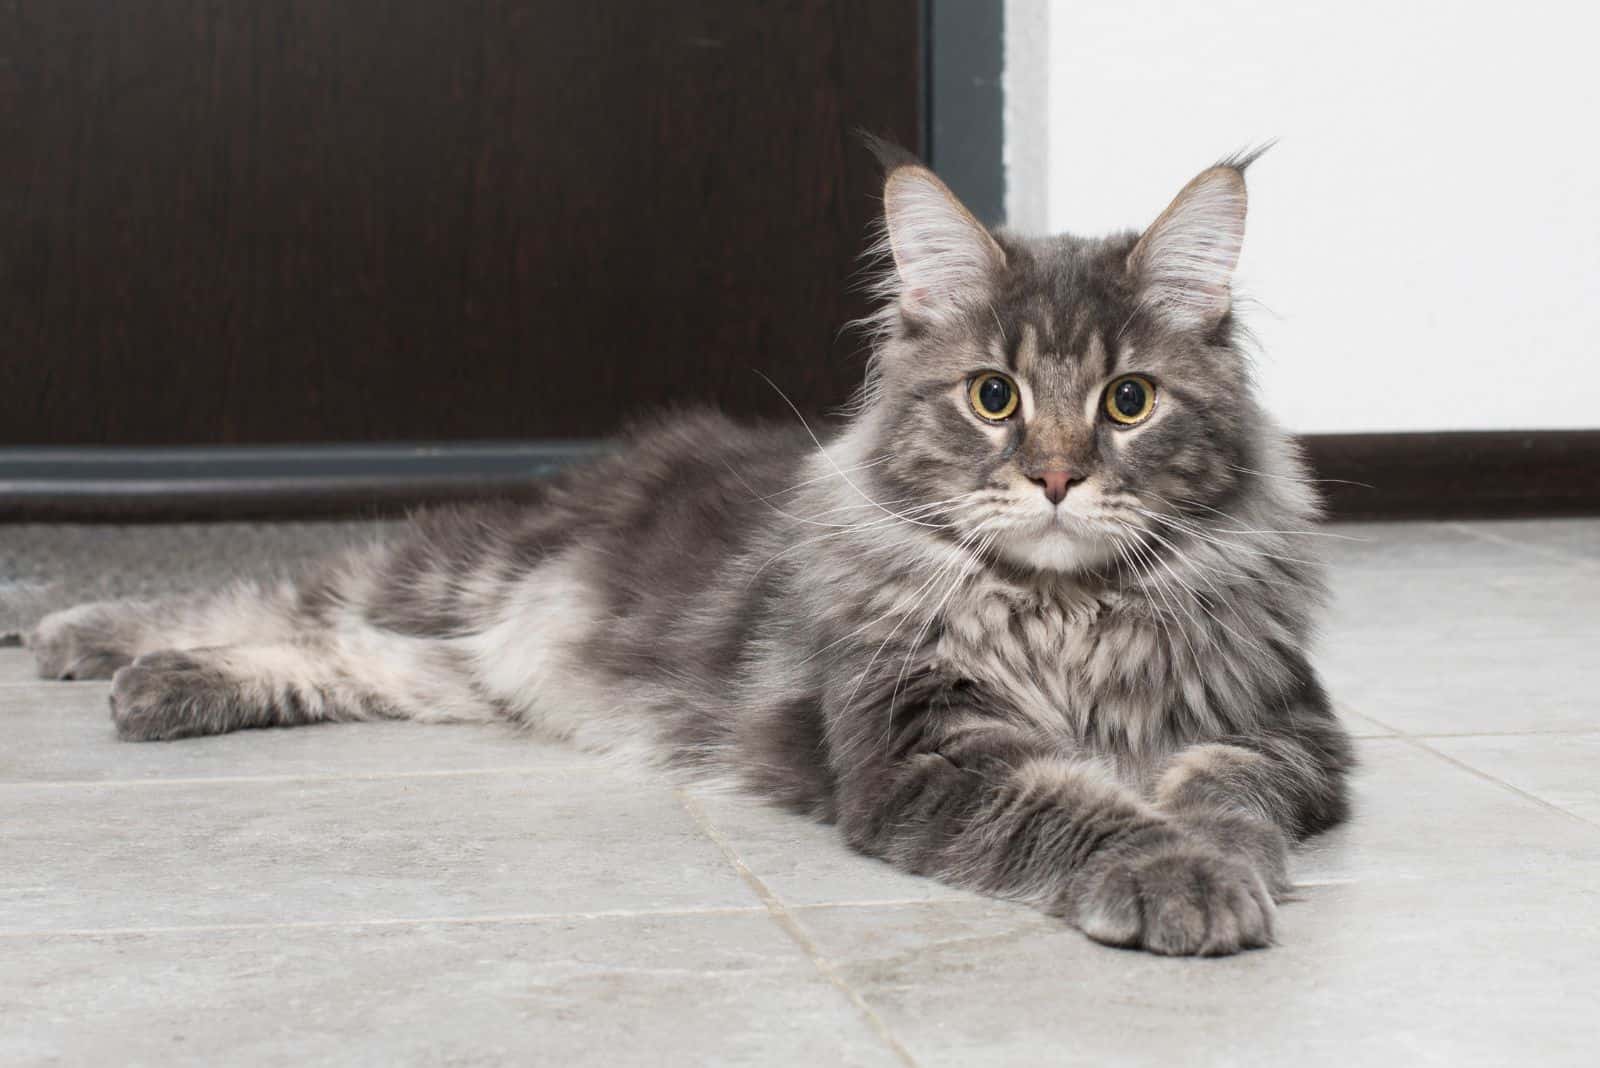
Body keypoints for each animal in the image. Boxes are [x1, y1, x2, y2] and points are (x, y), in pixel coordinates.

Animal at [28, 146, 1350, 952]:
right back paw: (78, 633)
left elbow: (1221, 793)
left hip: (483, 662)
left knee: (352, 657)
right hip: (464, 569)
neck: (1065, 617)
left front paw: (1225, 861)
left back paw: (165, 688)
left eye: (1128, 402)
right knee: (285, 596)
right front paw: (1177, 876)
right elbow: (1084, 808)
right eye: (992, 396)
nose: (1059, 478)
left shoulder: (1281, 730)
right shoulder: (926, 748)